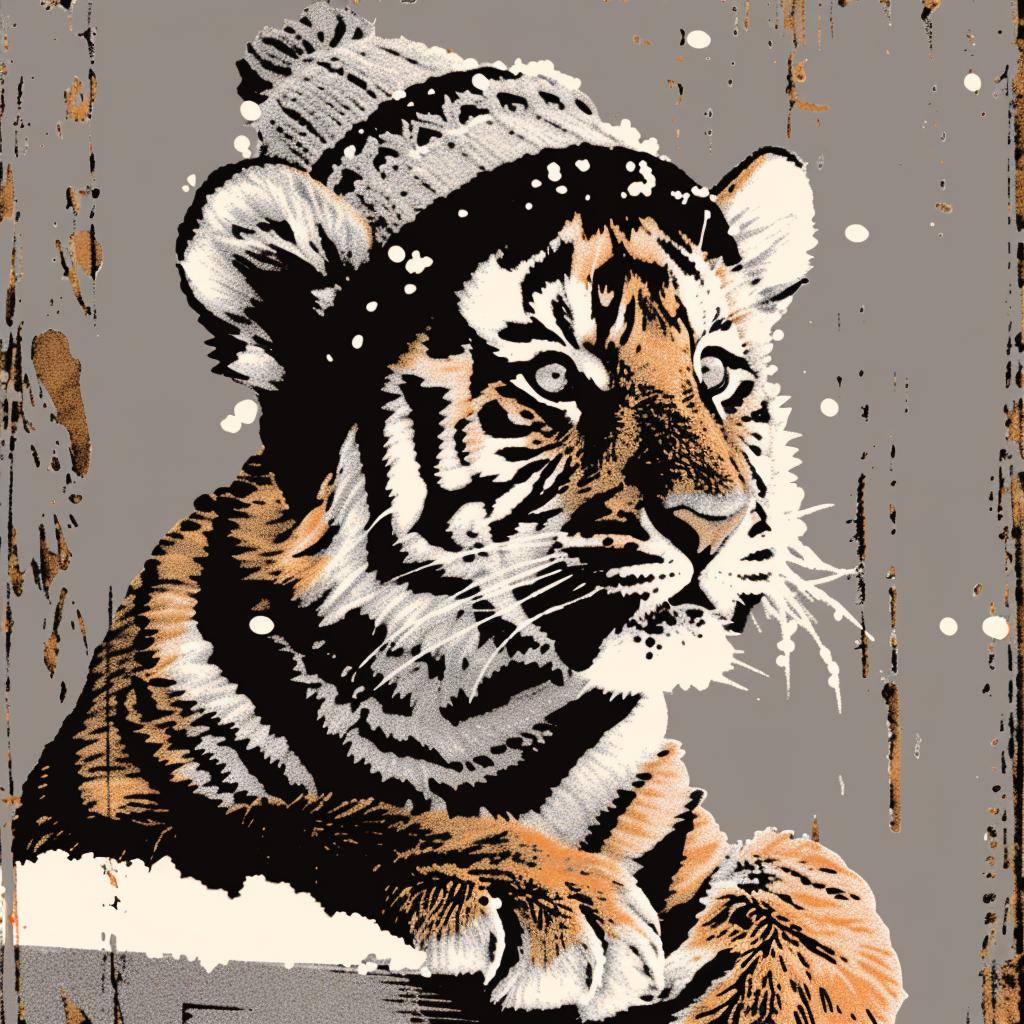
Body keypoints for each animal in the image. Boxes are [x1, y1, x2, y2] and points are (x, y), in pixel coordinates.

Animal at [14, 5, 904, 1022]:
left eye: (716, 372)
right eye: (554, 377)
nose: (714, 521)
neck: (467, 703)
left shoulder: (686, 840)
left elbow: (807, 865)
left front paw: (783, 998)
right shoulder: (87, 829)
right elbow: (290, 823)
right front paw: (545, 895)